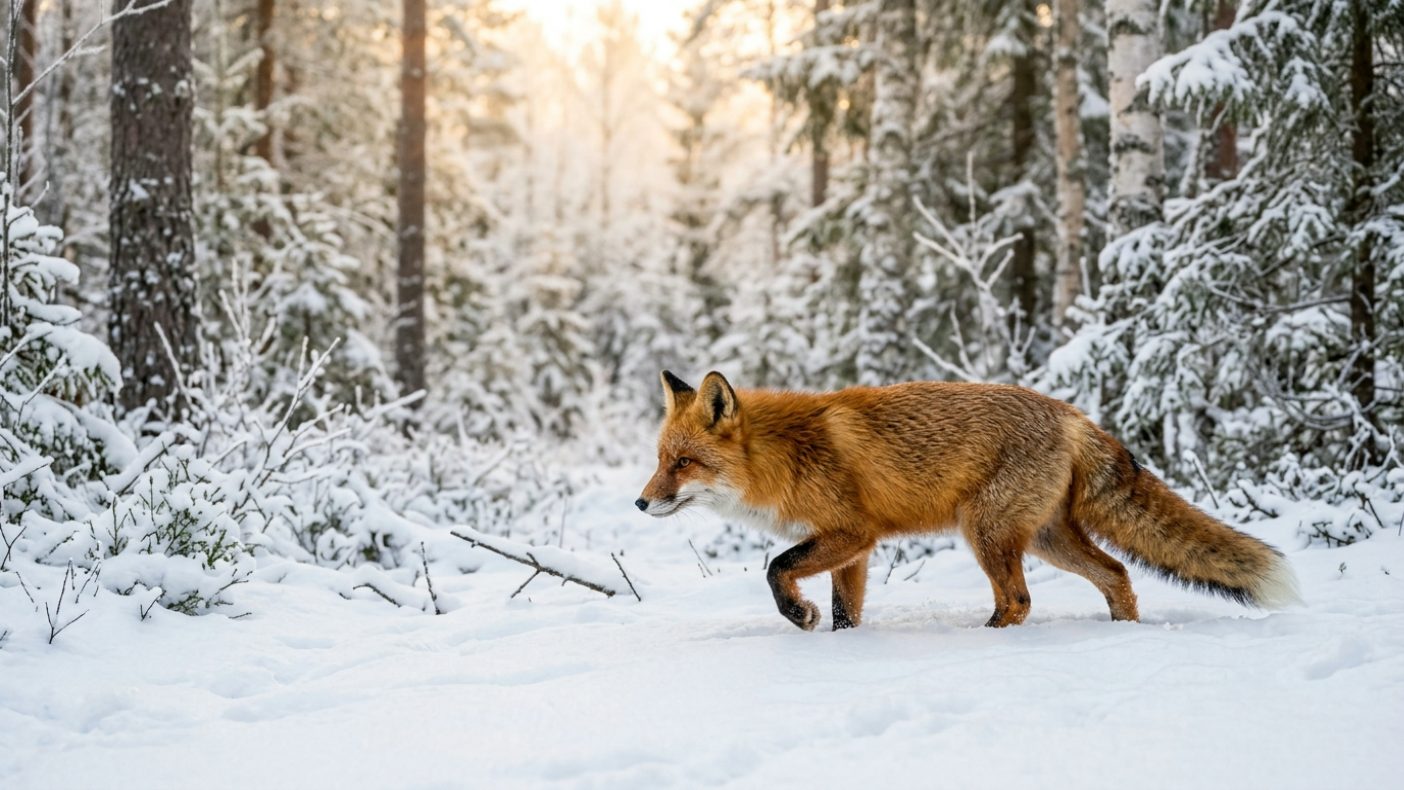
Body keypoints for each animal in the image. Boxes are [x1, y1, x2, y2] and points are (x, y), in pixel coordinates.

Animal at [636, 370, 1299, 632]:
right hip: (1047, 539)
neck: (786, 452)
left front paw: (799, 616)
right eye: (660, 459)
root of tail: (1073, 415)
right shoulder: (854, 550)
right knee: (1116, 574)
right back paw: (1122, 635)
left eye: (683, 463)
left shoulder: (852, 533)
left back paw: (984, 642)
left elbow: (776, 570)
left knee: (1020, 600)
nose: (640, 504)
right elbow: (847, 612)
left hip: (985, 532)